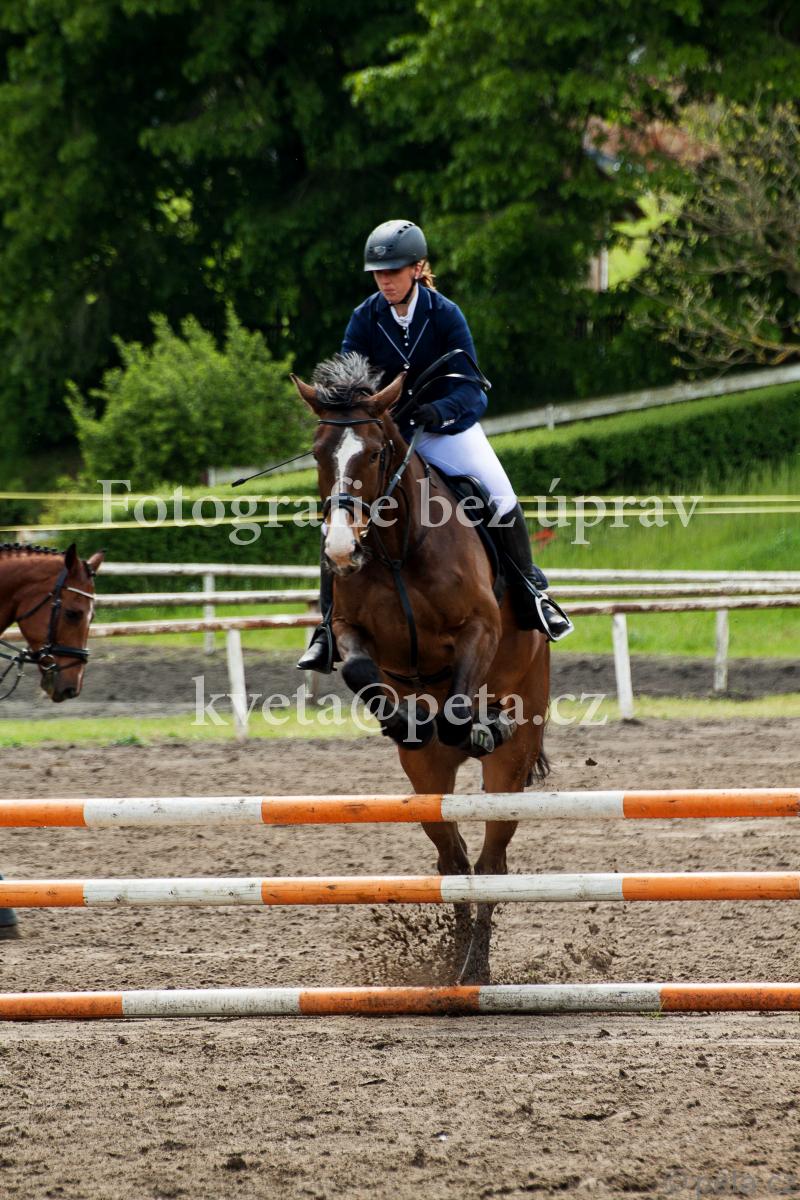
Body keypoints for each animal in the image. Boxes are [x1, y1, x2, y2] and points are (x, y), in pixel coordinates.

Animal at [292, 355, 550, 983]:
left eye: (375, 453)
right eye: (317, 452)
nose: (340, 549)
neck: (395, 549)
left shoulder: (480, 628)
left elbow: (458, 704)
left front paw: (476, 725)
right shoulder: (351, 631)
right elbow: (361, 671)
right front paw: (403, 720)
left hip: (512, 766)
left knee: (490, 861)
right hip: (425, 779)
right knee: (453, 859)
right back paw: (458, 967)